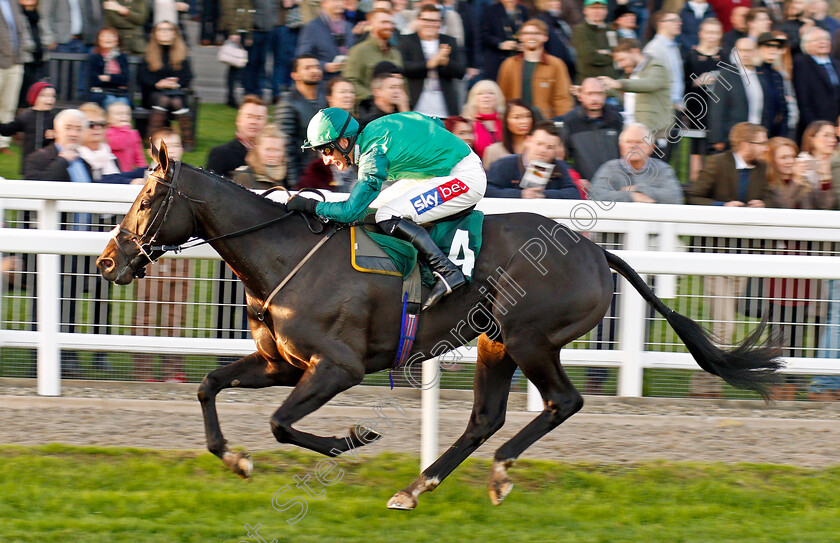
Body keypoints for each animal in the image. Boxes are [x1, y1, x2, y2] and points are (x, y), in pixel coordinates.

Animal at [97, 144, 780, 510]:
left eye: (147, 201)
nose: (107, 262)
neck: (283, 253)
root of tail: (594, 249)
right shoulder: (279, 363)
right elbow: (210, 386)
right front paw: (234, 460)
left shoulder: (338, 367)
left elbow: (283, 424)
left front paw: (352, 438)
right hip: (495, 342)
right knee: (485, 418)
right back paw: (418, 486)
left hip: (530, 337)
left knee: (561, 402)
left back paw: (498, 473)